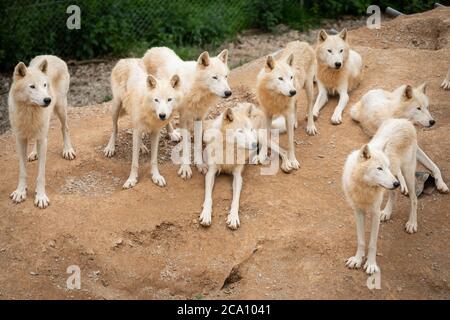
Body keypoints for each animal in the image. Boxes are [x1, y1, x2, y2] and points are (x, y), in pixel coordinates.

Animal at [8, 56, 76, 209]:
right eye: (32, 86)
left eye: (45, 85)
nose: (47, 100)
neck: (29, 111)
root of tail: (53, 56)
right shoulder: (20, 139)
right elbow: (22, 171)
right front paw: (20, 192)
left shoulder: (43, 139)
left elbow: (41, 175)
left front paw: (40, 197)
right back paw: (34, 153)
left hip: (61, 108)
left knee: (65, 128)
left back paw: (68, 150)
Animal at [104, 58, 182, 188]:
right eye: (156, 100)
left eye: (169, 99)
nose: (162, 115)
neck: (149, 109)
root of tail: (125, 59)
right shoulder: (138, 128)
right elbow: (134, 162)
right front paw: (131, 180)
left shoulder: (155, 132)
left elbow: (154, 159)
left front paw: (156, 176)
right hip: (116, 106)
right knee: (115, 128)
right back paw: (110, 147)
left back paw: (143, 146)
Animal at [143, 48, 232, 181]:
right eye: (215, 77)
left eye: (226, 76)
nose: (228, 93)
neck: (196, 90)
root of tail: (152, 49)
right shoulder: (184, 118)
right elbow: (185, 146)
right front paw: (185, 168)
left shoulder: (199, 117)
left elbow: (198, 143)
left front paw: (200, 164)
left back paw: (172, 134)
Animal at [344, 119, 418, 274]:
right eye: (379, 168)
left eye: (386, 167)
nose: (397, 183)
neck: (364, 188)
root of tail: (404, 120)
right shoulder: (358, 211)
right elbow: (361, 240)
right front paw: (357, 260)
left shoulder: (375, 212)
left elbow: (372, 243)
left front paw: (371, 265)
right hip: (393, 180)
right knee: (393, 194)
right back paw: (387, 212)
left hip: (407, 174)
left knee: (414, 199)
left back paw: (412, 223)